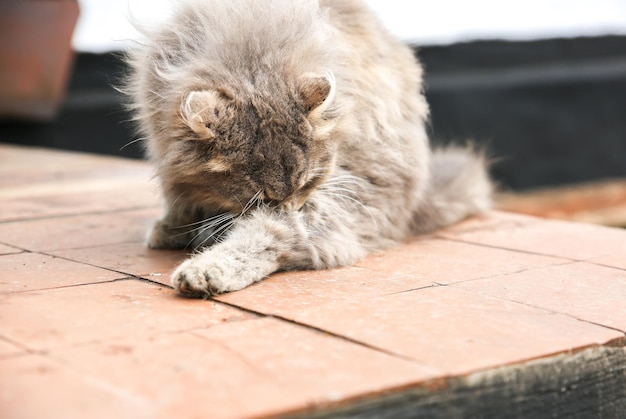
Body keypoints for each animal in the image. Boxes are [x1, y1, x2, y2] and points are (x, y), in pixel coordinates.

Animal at [123, 0, 492, 296]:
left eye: (306, 184)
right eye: (262, 197)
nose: (288, 206)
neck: (251, 58)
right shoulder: (163, 146)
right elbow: (179, 198)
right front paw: (172, 228)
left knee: (278, 239)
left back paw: (204, 273)